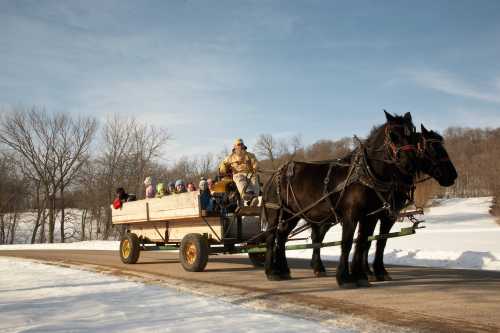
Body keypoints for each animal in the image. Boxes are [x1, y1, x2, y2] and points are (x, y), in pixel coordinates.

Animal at [264, 110, 420, 286]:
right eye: (393, 136)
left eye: (413, 135)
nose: (410, 164)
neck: (365, 174)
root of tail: (275, 174)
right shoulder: (351, 214)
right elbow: (347, 243)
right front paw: (345, 277)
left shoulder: (370, 216)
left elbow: (363, 242)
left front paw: (360, 276)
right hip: (276, 211)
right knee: (271, 237)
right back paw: (271, 271)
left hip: (293, 214)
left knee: (282, 237)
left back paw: (283, 269)